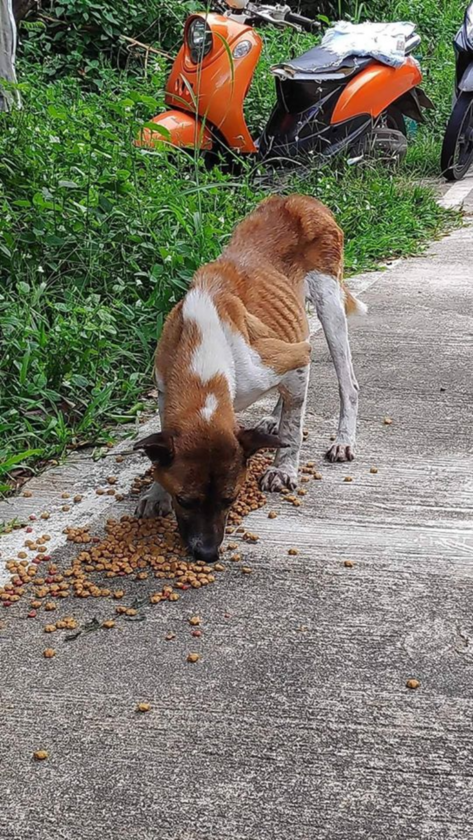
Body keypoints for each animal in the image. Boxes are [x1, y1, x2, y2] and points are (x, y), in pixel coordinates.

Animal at [134, 195, 366, 564]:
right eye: (184, 500)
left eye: (230, 499)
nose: (208, 554)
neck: (204, 360)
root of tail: (300, 198)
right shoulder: (163, 389)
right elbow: (159, 444)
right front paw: (156, 490)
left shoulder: (295, 356)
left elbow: (293, 429)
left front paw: (284, 469)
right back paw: (272, 418)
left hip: (329, 304)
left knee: (348, 385)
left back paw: (343, 439)